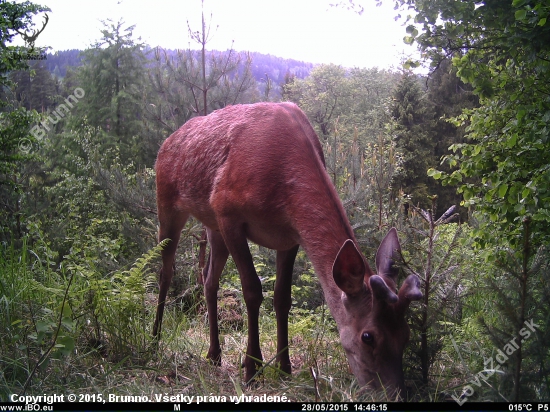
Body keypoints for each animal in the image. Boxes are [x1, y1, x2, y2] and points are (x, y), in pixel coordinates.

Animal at [153, 101, 424, 394]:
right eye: (368, 336)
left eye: (406, 334)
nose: (393, 392)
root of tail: (168, 141)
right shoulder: (227, 212)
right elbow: (252, 290)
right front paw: (252, 369)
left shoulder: (290, 237)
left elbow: (283, 298)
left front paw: (285, 369)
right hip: (168, 202)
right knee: (165, 270)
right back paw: (155, 337)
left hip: (212, 226)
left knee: (208, 278)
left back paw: (214, 355)